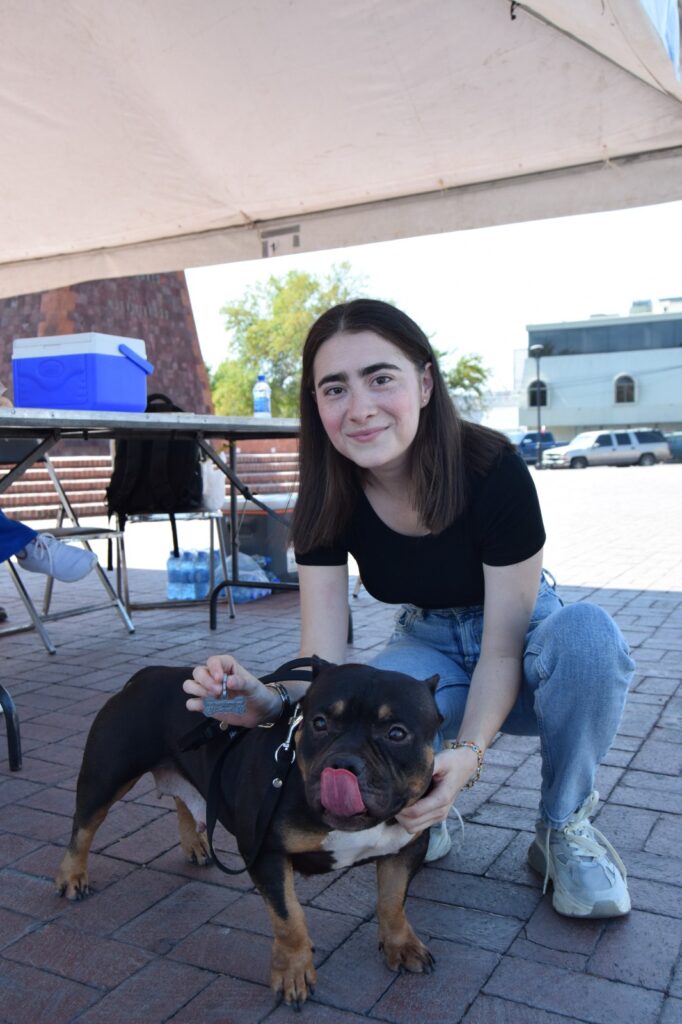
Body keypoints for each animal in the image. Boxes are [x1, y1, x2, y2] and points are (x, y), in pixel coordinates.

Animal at [57, 659, 440, 1003]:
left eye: (396, 734)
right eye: (319, 723)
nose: (343, 762)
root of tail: (147, 674)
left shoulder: (408, 846)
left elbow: (392, 899)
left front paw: (402, 944)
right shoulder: (265, 853)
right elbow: (288, 917)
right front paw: (293, 972)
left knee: (184, 798)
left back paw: (195, 844)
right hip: (106, 776)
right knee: (83, 826)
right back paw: (72, 876)